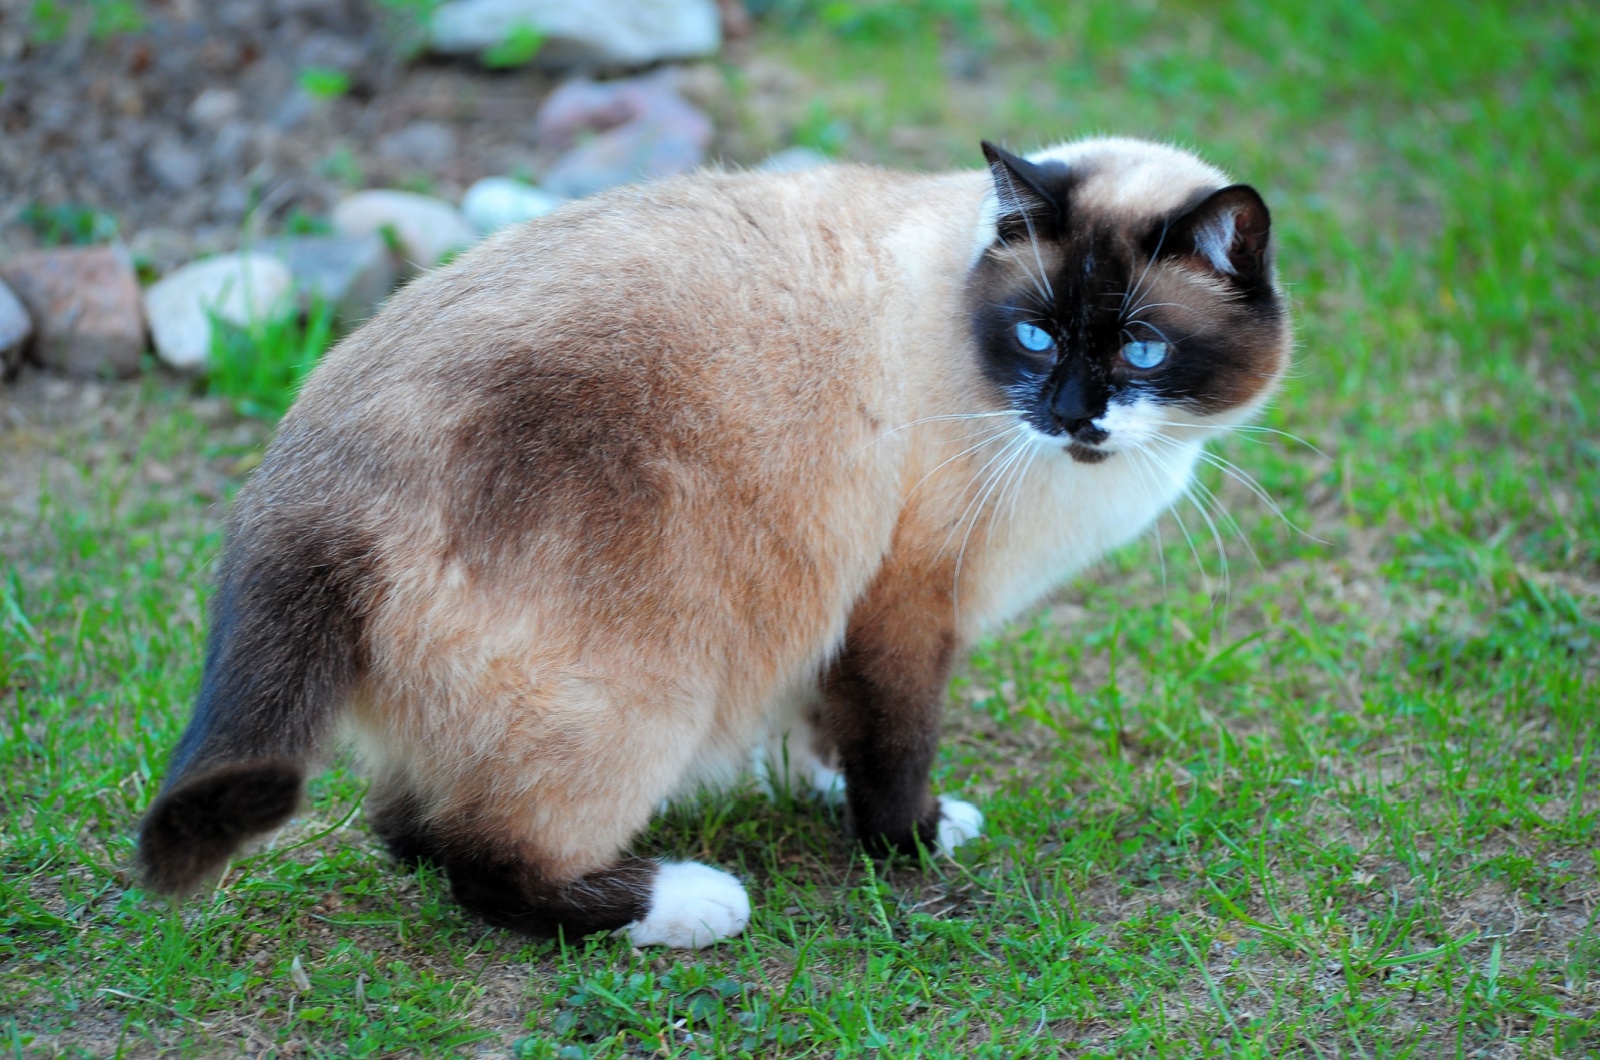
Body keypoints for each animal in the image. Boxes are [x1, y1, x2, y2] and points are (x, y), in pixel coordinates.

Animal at [134, 139, 1286, 947]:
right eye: (1038, 336)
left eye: (1142, 350)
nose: (1071, 414)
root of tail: (301, 485)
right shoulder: (907, 604)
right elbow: (894, 745)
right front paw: (911, 841)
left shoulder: (847, 617)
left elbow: (831, 723)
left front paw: (823, 787)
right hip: (646, 696)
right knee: (482, 861)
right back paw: (690, 903)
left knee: (407, 825)